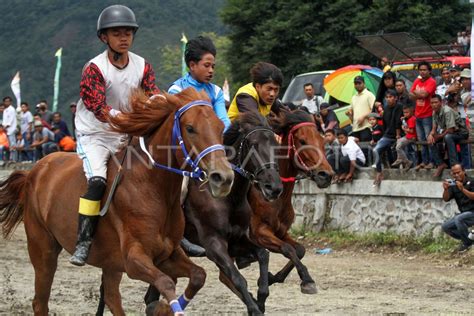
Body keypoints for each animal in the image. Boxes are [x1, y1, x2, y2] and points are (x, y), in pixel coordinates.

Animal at [0, 87, 234, 314]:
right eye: (190, 128)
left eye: (220, 126)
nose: (223, 178)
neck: (153, 188)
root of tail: (34, 171)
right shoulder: (134, 259)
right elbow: (166, 282)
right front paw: (161, 307)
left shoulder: (167, 254)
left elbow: (198, 275)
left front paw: (162, 308)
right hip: (43, 249)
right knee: (40, 301)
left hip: (110, 262)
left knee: (112, 299)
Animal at [246, 109, 332, 296]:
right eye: (302, 141)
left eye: (322, 140)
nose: (326, 175)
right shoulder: (258, 232)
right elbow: (288, 249)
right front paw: (307, 279)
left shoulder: (281, 231)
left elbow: (300, 249)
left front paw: (273, 277)